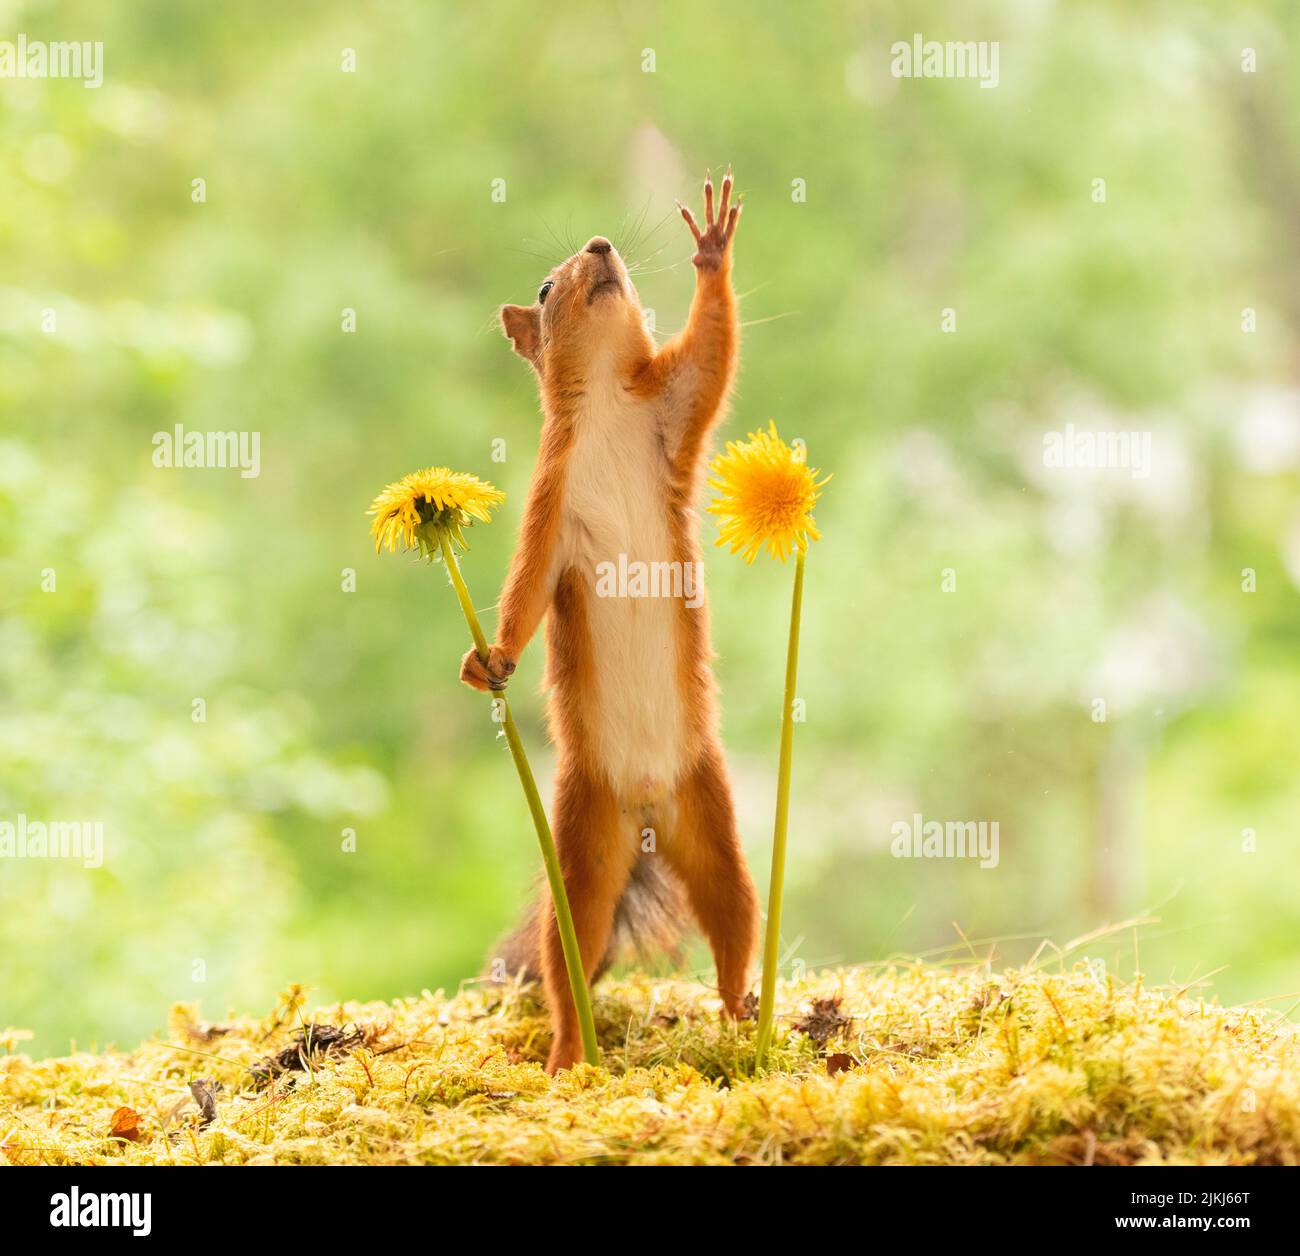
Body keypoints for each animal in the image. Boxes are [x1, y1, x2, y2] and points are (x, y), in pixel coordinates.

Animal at [462, 169, 759, 1071]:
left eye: (610, 256)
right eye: (542, 287)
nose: (599, 246)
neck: (606, 410)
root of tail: (649, 814)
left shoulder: (675, 414)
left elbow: (712, 357)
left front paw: (712, 247)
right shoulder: (549, 505)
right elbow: (527, 591)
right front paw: (492, 659)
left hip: (712, 818)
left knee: (733, 921)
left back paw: (742, 1016)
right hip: (582, 846)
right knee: (570, 961)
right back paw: (569, 1055)